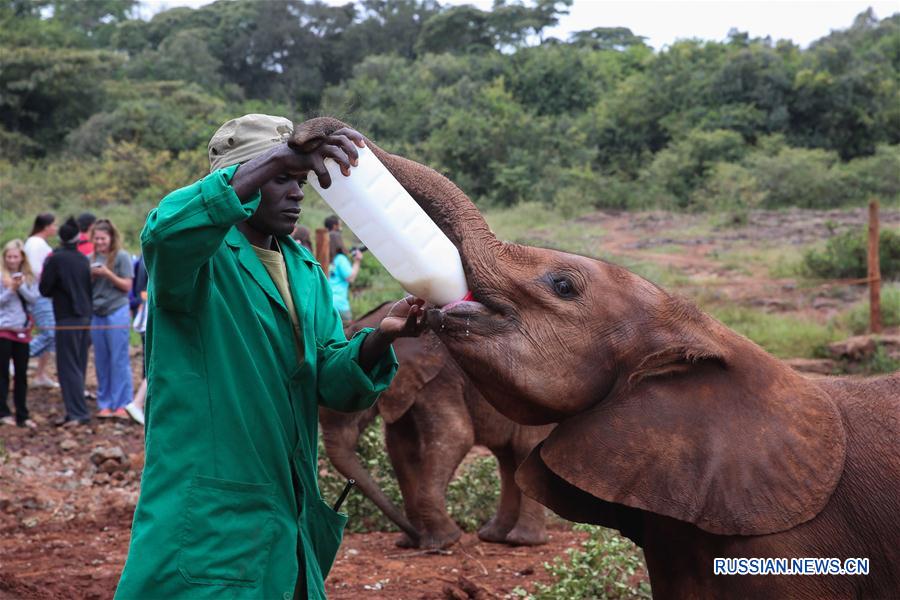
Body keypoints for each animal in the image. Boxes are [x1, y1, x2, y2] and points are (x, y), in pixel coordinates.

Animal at [320, 302, 552, 552]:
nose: (415, 538)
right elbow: (401, 448)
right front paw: (413, 542)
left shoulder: (439, 379)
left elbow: (455, 436)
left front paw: (443, 541)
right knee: (506, 457)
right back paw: (494, 536)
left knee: (523, 448)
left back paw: (523, 541)